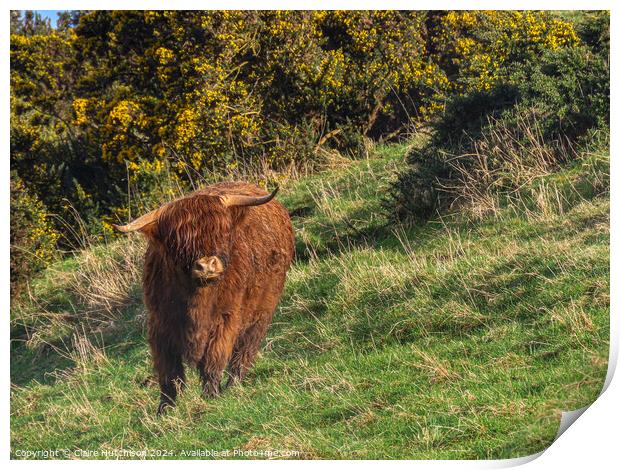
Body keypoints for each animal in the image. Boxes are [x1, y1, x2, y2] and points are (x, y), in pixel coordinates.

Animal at [115, 182, 294, 414]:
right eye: (178, 242)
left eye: (222, 232)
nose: (207, 265)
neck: (196, 299)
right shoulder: (160, 324)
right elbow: (169, 372)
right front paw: (165, 409)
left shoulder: (226, 319)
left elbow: (213, 359)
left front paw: (211, 395)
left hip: (261, 314)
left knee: (243, 352)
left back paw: (233, 385)